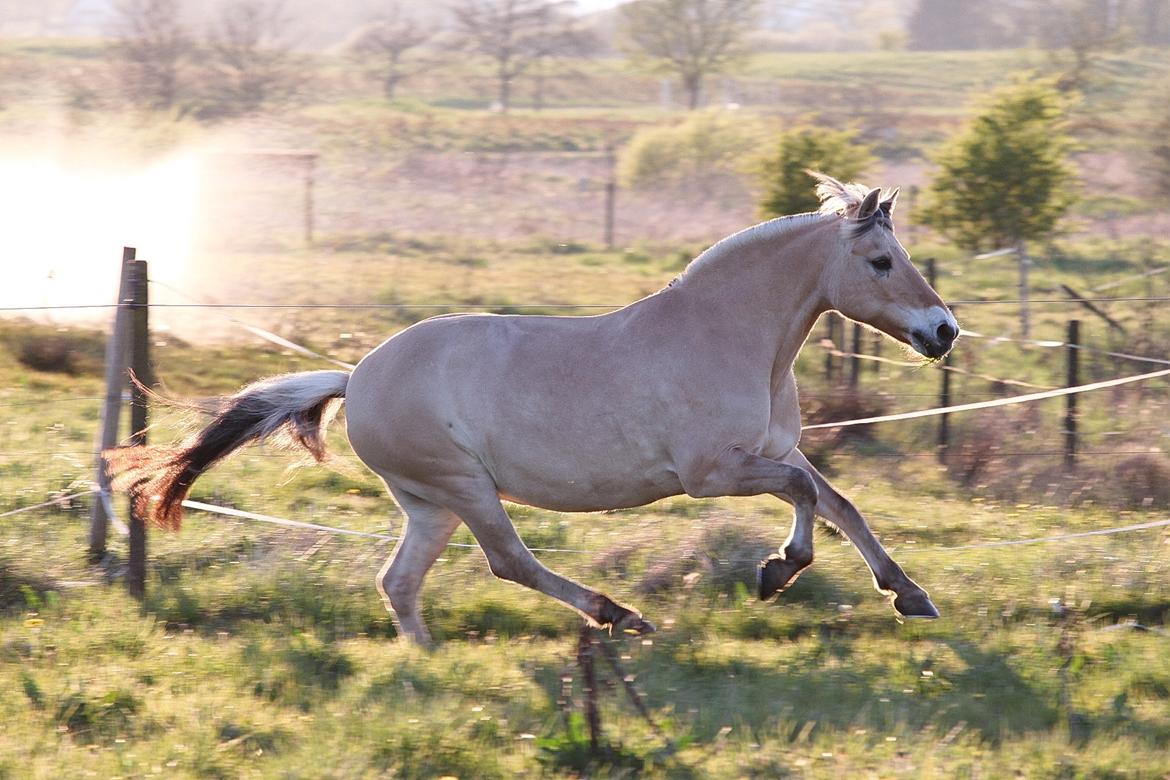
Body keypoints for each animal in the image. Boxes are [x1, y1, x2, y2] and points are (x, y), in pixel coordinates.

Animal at [105, 174, 959, 645]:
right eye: (881, 262)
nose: (943, 331)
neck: (731, 333)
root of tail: (359, 375)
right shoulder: (713, 472)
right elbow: (809, 496)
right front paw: (776, 572)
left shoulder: (775, 450)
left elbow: (841, 502)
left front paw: (910, 596)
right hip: (464, 489)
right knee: (508, 561)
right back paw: (619, 617)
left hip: (430, 503)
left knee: (399, 583)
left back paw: (429, 665)